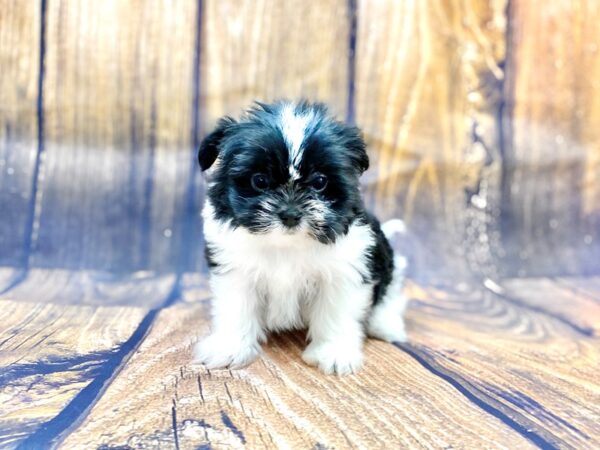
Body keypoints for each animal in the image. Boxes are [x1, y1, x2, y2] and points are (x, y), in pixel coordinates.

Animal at [192, 100, 408, 374]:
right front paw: (229, 347)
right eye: (259, 181)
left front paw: (333, 352)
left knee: (390, 292)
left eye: (319, 182)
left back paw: (385, 325)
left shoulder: (345, 270)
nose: (290, 214)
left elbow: (336, 312)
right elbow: (237, 308)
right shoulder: (235, 270)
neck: (287, 244)